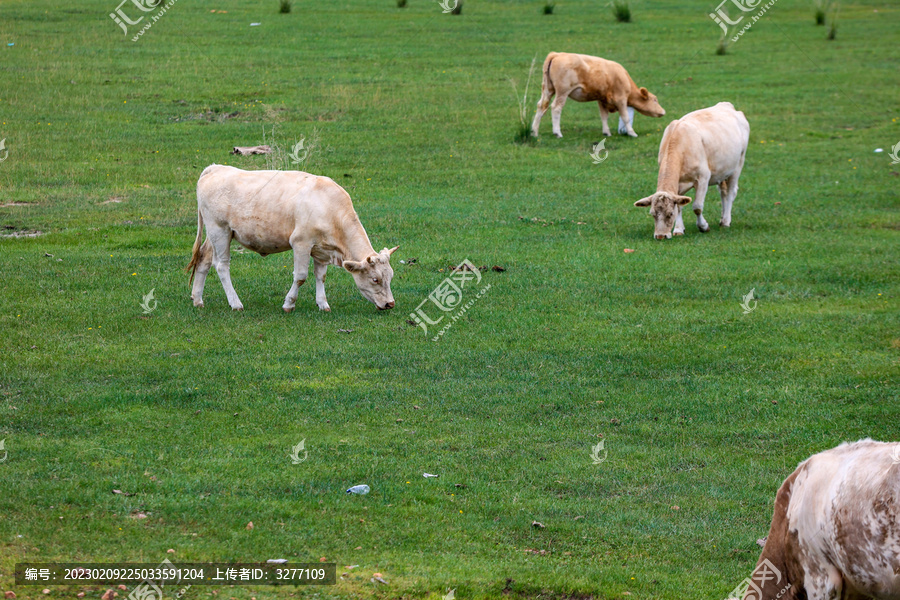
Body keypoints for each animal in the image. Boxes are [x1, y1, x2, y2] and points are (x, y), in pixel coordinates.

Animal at [187, 165, 398, 312]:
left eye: (390, 276)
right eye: (375, 279)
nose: (390, 304)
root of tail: (216, 168)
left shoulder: (321, 249)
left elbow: (321, 276)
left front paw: (323, 304)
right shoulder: (301, 243)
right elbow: (301, 276)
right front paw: (289, 304)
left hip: (215, 234)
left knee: (204, 259)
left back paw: (197, 299)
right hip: (219, 230)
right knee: (222, 265)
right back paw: (235, 303)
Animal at [532, 51, 664, 138]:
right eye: (655, 100)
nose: (663, 111)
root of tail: (557, 54)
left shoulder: (602, 99)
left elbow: (604, 116)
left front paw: (606, 132)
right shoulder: (621, 99)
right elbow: (625, 117)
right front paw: (632, 133)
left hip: (548, 89)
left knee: (541, 106)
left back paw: (534, 132)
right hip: (562, 91)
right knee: (556, 108)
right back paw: (557, 132)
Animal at [632, 101, 752, 239]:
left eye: (670, 214)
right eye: (652, 214)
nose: (660, 236)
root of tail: (726, 105)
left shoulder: (703, 178)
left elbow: (697, 207)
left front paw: (703, 226)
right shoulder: (678, 185)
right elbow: (680, 206)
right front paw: (678, 229)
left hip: (738, 165)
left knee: (731, 192)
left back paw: (726, 221)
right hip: (722, 171)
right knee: (723, 192)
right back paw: (722, 218)